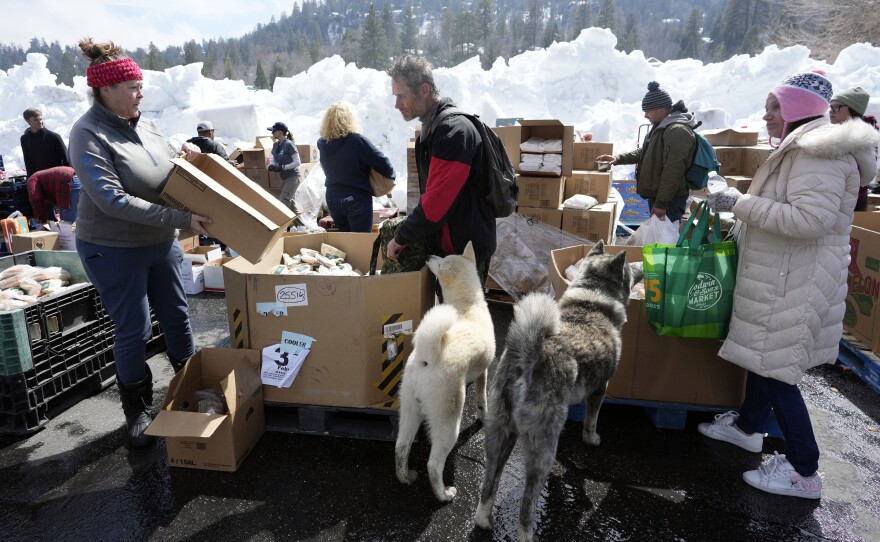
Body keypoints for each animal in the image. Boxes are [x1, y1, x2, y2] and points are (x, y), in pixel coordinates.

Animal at [394, 244, 496, 504]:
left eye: (440, 261)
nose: (428, 255)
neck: (468, 305)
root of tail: (428, 357)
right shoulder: (484, 371)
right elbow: (482, 398)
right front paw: (484, 416)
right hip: (449, 423)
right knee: (433, 464)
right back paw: (443, 494)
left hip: (410, 409)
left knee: (401, 447)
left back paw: (405, 477)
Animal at [478, 243, 644, 542]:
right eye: (628, 268)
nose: (642, 266)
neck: (593, 297)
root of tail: (529, 354)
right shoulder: (600, 389)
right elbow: (591, 419)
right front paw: (591, 438)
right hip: (542, 450)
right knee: (527, 502)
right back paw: (527, 533)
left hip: (499, 434)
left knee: (489, 482)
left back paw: (484, 518)